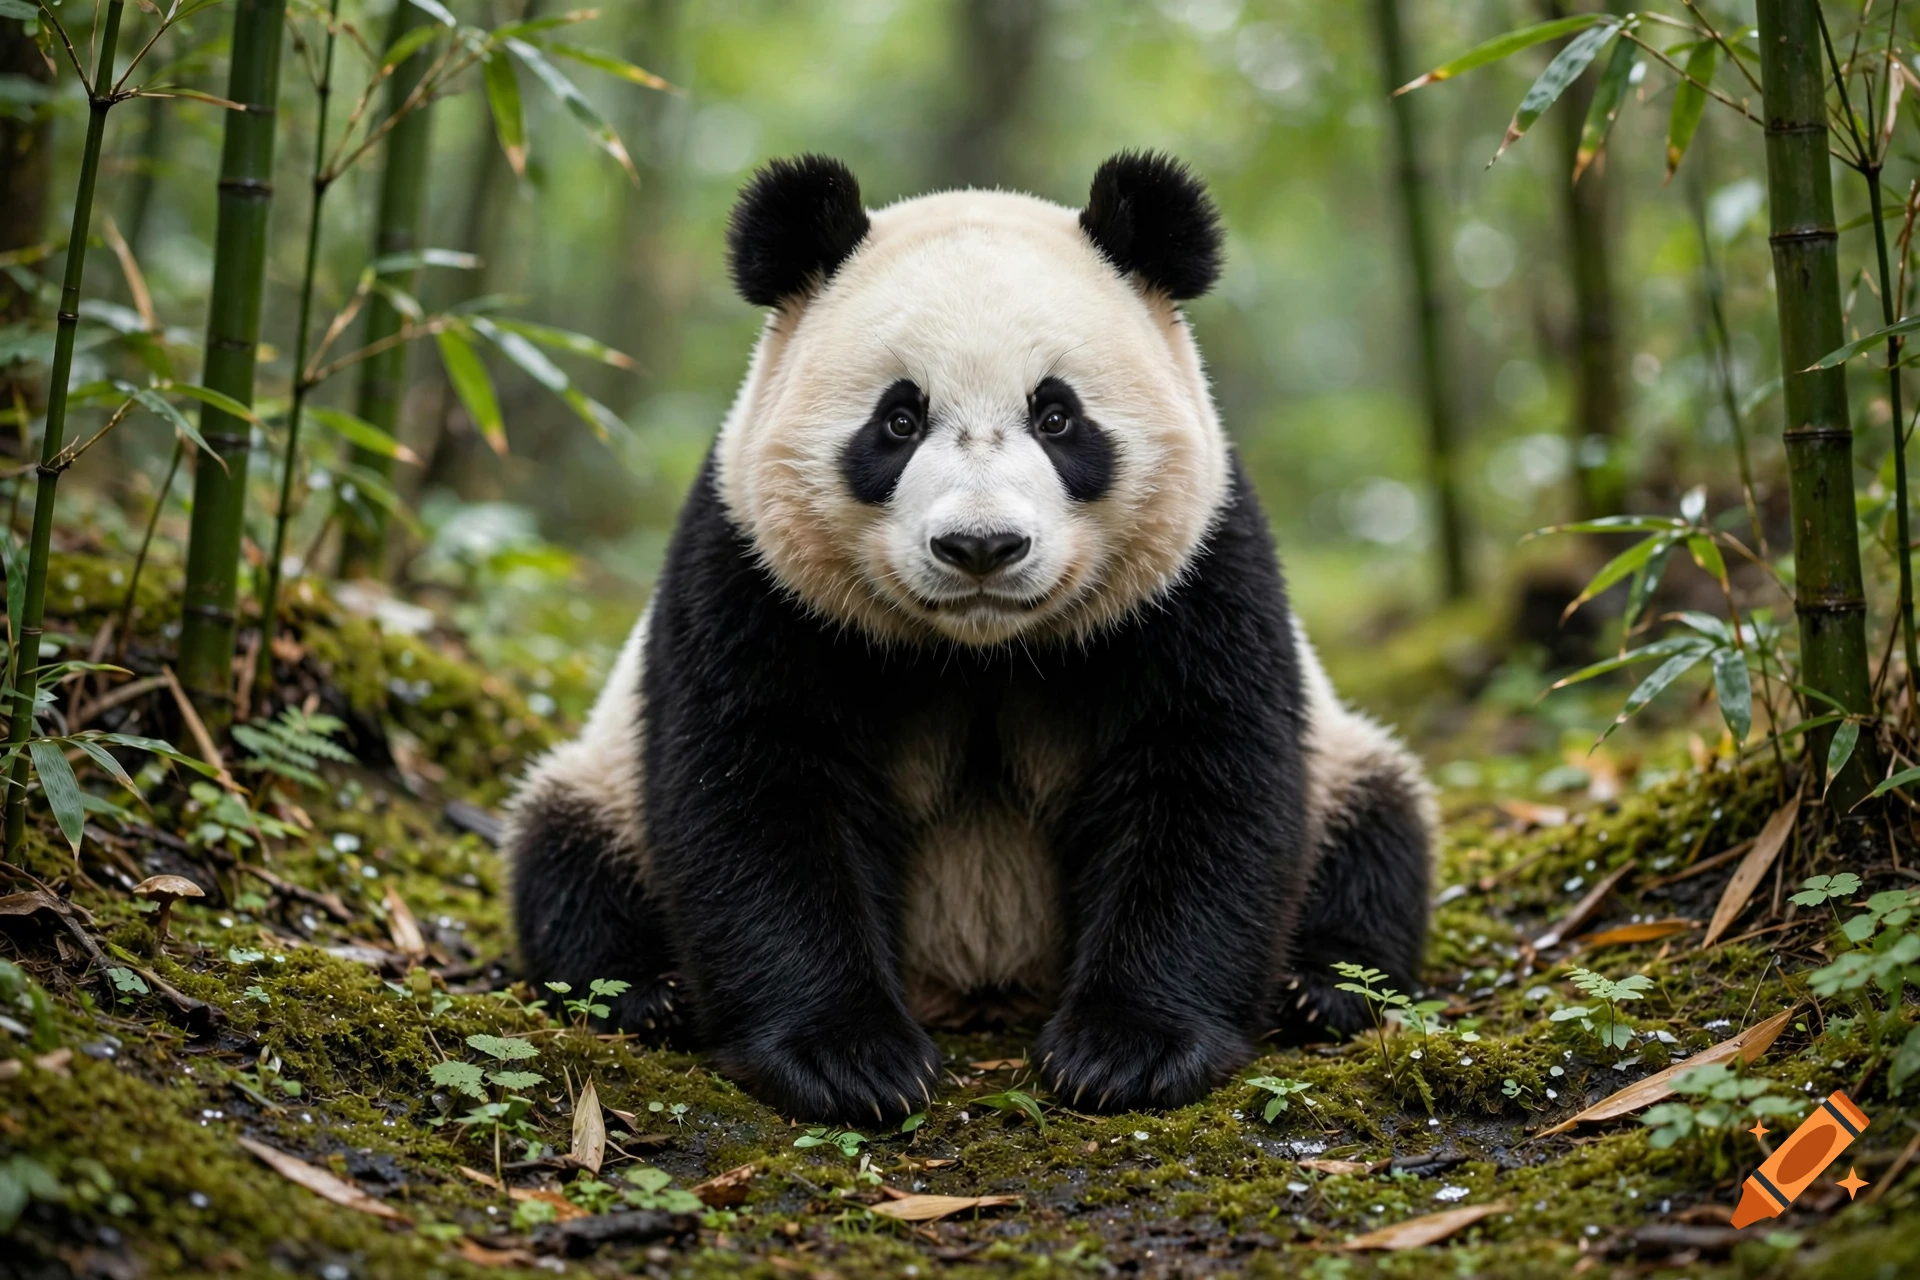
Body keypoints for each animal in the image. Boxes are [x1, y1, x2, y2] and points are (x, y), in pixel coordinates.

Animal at [505, 152, 1435, 1123]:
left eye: (1057, 416)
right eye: (899, 419)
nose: (981, 546)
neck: (979, 648)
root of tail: (979, 987)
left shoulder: (1198, 573)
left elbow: (1206, 779)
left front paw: (1126, 1050)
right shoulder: (752, 575)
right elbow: (754, 790)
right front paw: (850, 1057)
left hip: (1347, 764)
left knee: (1379, 836)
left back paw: (1323, 988)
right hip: (599, 782)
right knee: (565, 862)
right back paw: (645, 994)